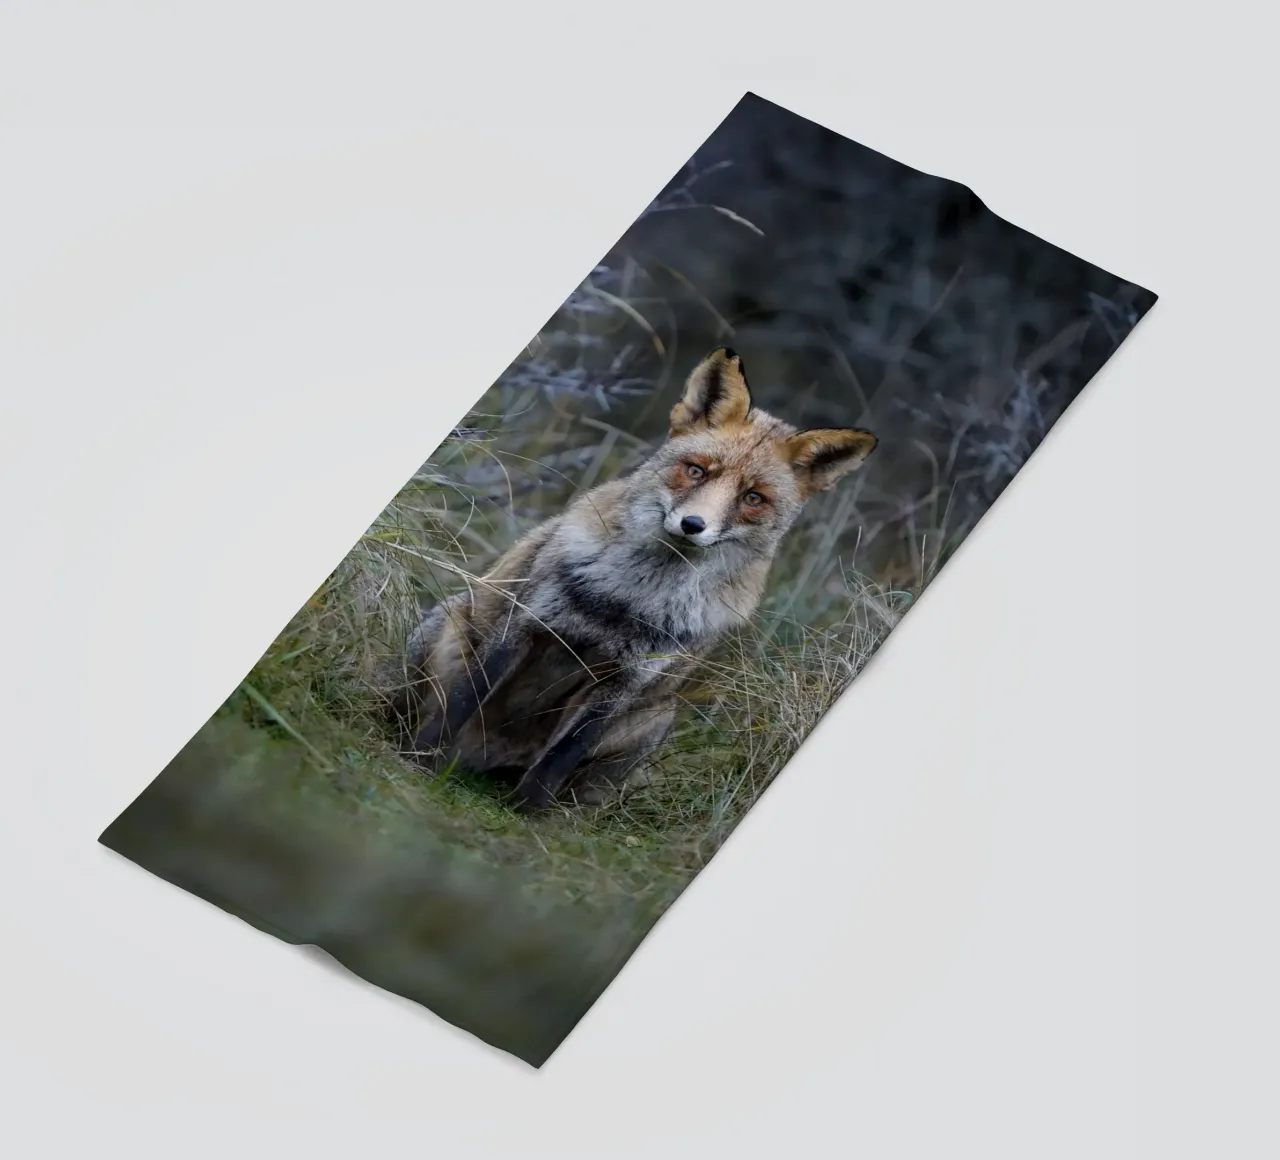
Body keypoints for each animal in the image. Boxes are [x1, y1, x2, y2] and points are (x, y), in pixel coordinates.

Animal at [390, 347, 877, 809]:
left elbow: (563, 754)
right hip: (446, 628)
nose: (693, 525)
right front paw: (419, 759)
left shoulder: (628, 681)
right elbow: (464, 700)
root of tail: (477, 761)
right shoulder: (524, 625)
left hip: (656, 717)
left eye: (753, 498)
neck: (630, 599)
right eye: (696, 470)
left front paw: (527, 812)